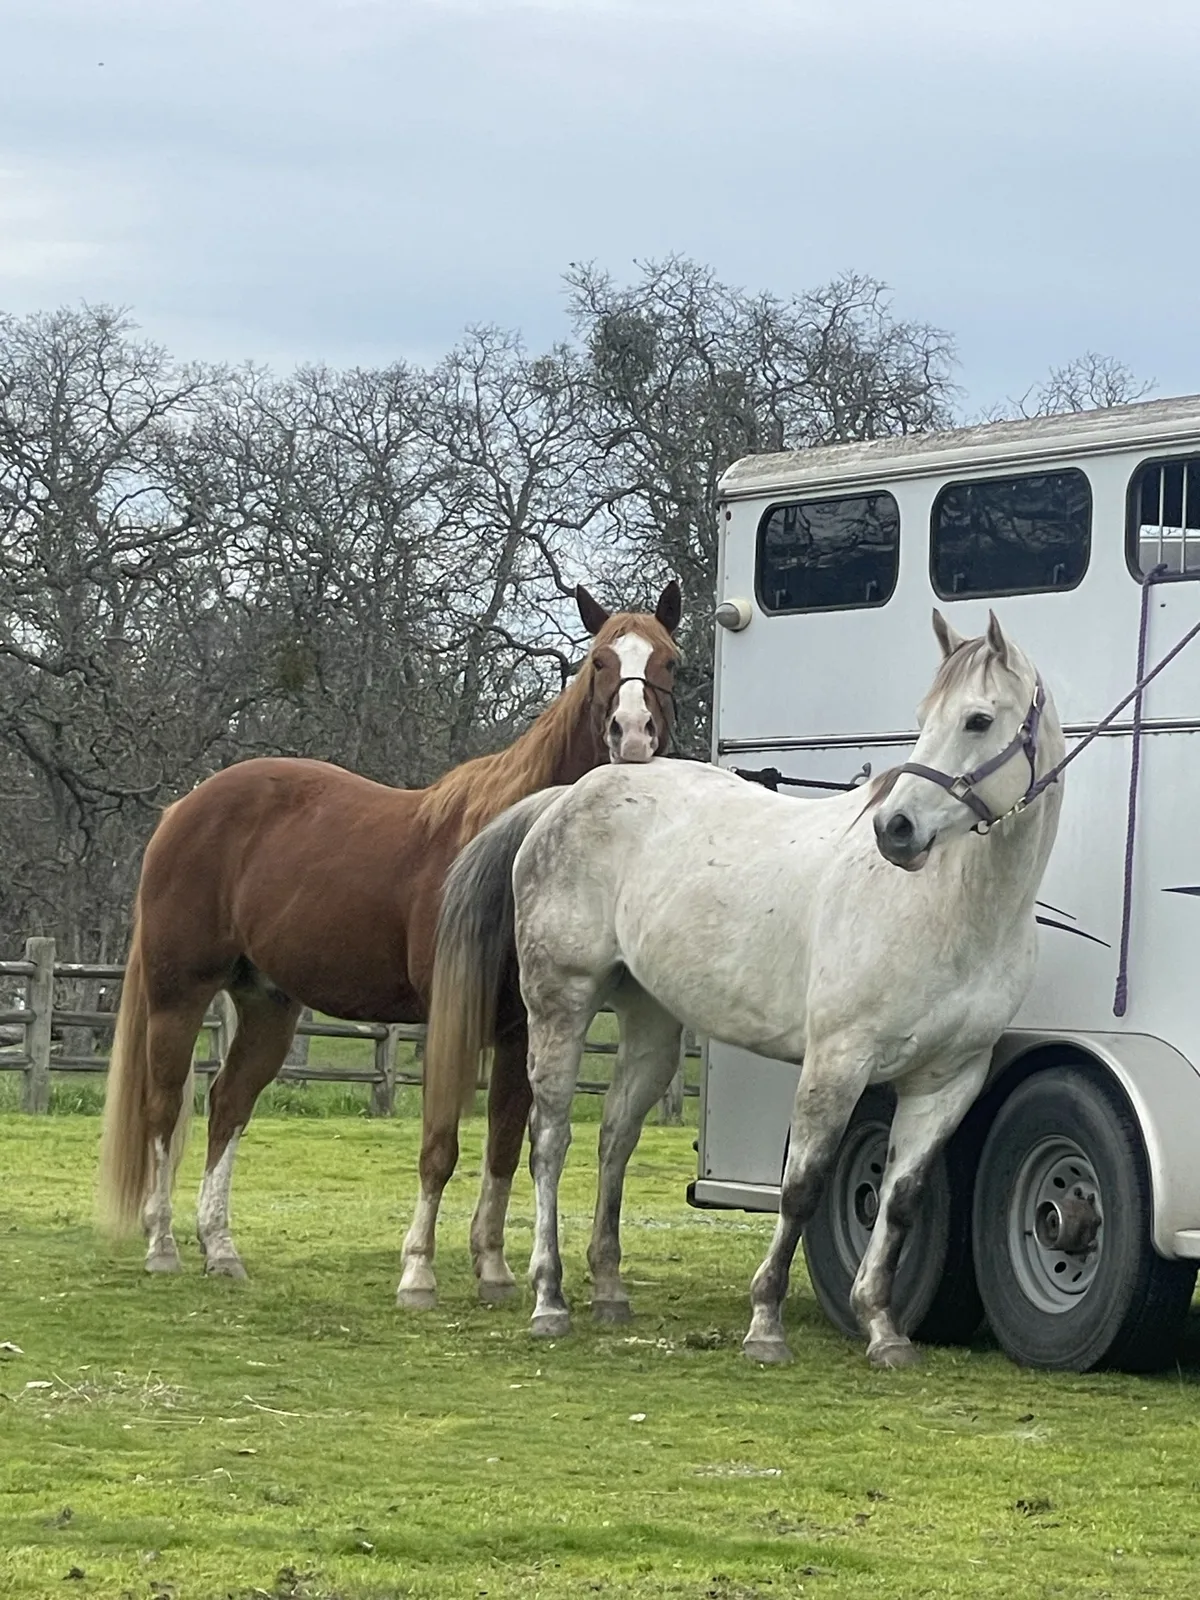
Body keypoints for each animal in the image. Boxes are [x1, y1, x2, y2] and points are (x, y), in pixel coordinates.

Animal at [98, 580, 682, 1290]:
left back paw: (221, 1249)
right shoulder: (450, 1020)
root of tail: (182, 808)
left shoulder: (519, 1027)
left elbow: (504, 1144)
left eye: (672, 661)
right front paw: (418, 1272)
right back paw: (162, 1244)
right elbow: (440, 1146)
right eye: (598, 660)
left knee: (227, 1105)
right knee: (162, 1107)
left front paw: (492, 1267)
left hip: (268, 1006)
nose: (633, 736)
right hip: (178, 994)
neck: (506, 845)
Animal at [422, 610, 1064, 1367]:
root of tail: (565, 798)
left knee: (615, 1138)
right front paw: (766, 1324)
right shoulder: (836, 1063)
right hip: (561, 1006)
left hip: (650, 1025)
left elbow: (901, 1199)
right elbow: (802, 1190)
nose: (895, 829)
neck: (950, 907)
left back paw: (608, 1289)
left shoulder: (948, 1082)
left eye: (978, 719)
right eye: (924, 718)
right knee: (549, 1142)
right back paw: (549, 1298)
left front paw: (882, 1329)